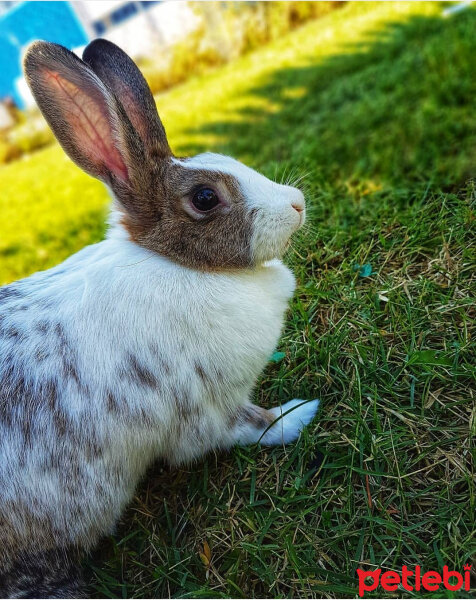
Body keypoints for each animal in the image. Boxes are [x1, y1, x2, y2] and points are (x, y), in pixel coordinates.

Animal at [0, 39, 320, 596]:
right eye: (206, 197)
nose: (297, 204)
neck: (179, 265)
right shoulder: (208, 406)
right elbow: (250, 426)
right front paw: (297, 414)